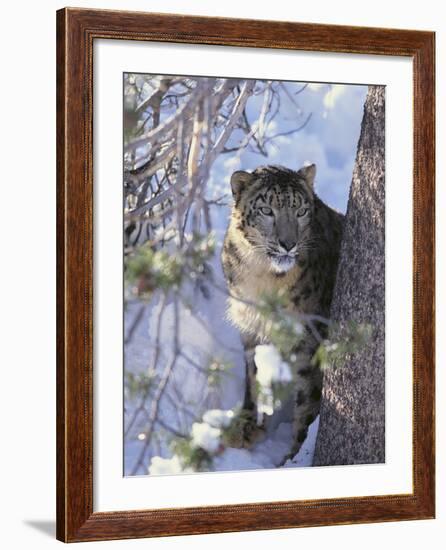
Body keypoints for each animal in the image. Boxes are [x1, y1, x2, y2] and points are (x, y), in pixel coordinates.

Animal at [221, 164, 344, 462]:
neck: (262, 278)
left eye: (301, 211)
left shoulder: (309, 342)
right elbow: (252, 377)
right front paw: (246, 428)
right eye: (267, 210)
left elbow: (308, 401)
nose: (288, 244)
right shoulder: (251, 330)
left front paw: (293, 459)